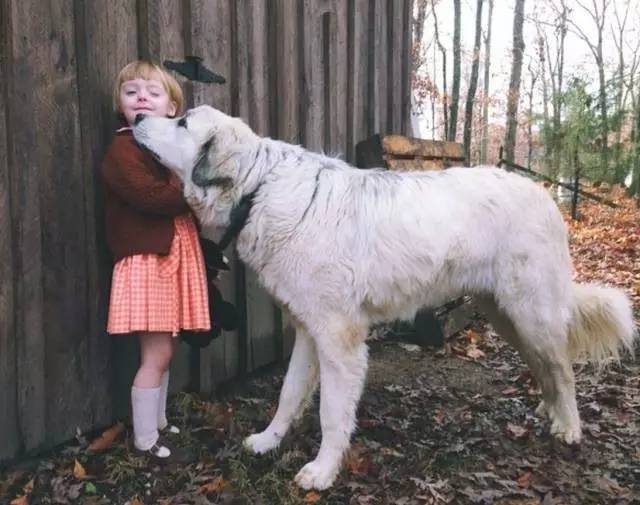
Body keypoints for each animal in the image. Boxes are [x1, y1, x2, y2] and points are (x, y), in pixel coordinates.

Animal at [134, 105, 636, 488]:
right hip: (505, 315)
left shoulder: (340, 341)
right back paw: (551, 412)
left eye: (181, 121)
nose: (137, 115)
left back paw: (569, 427)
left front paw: (322, 471)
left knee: (563, 370)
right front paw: (269, 440)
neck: (259, 190)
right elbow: (289, 393)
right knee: (546, 368)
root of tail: (543, 191)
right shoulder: (308, 332)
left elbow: (331, 413)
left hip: (530, 313)